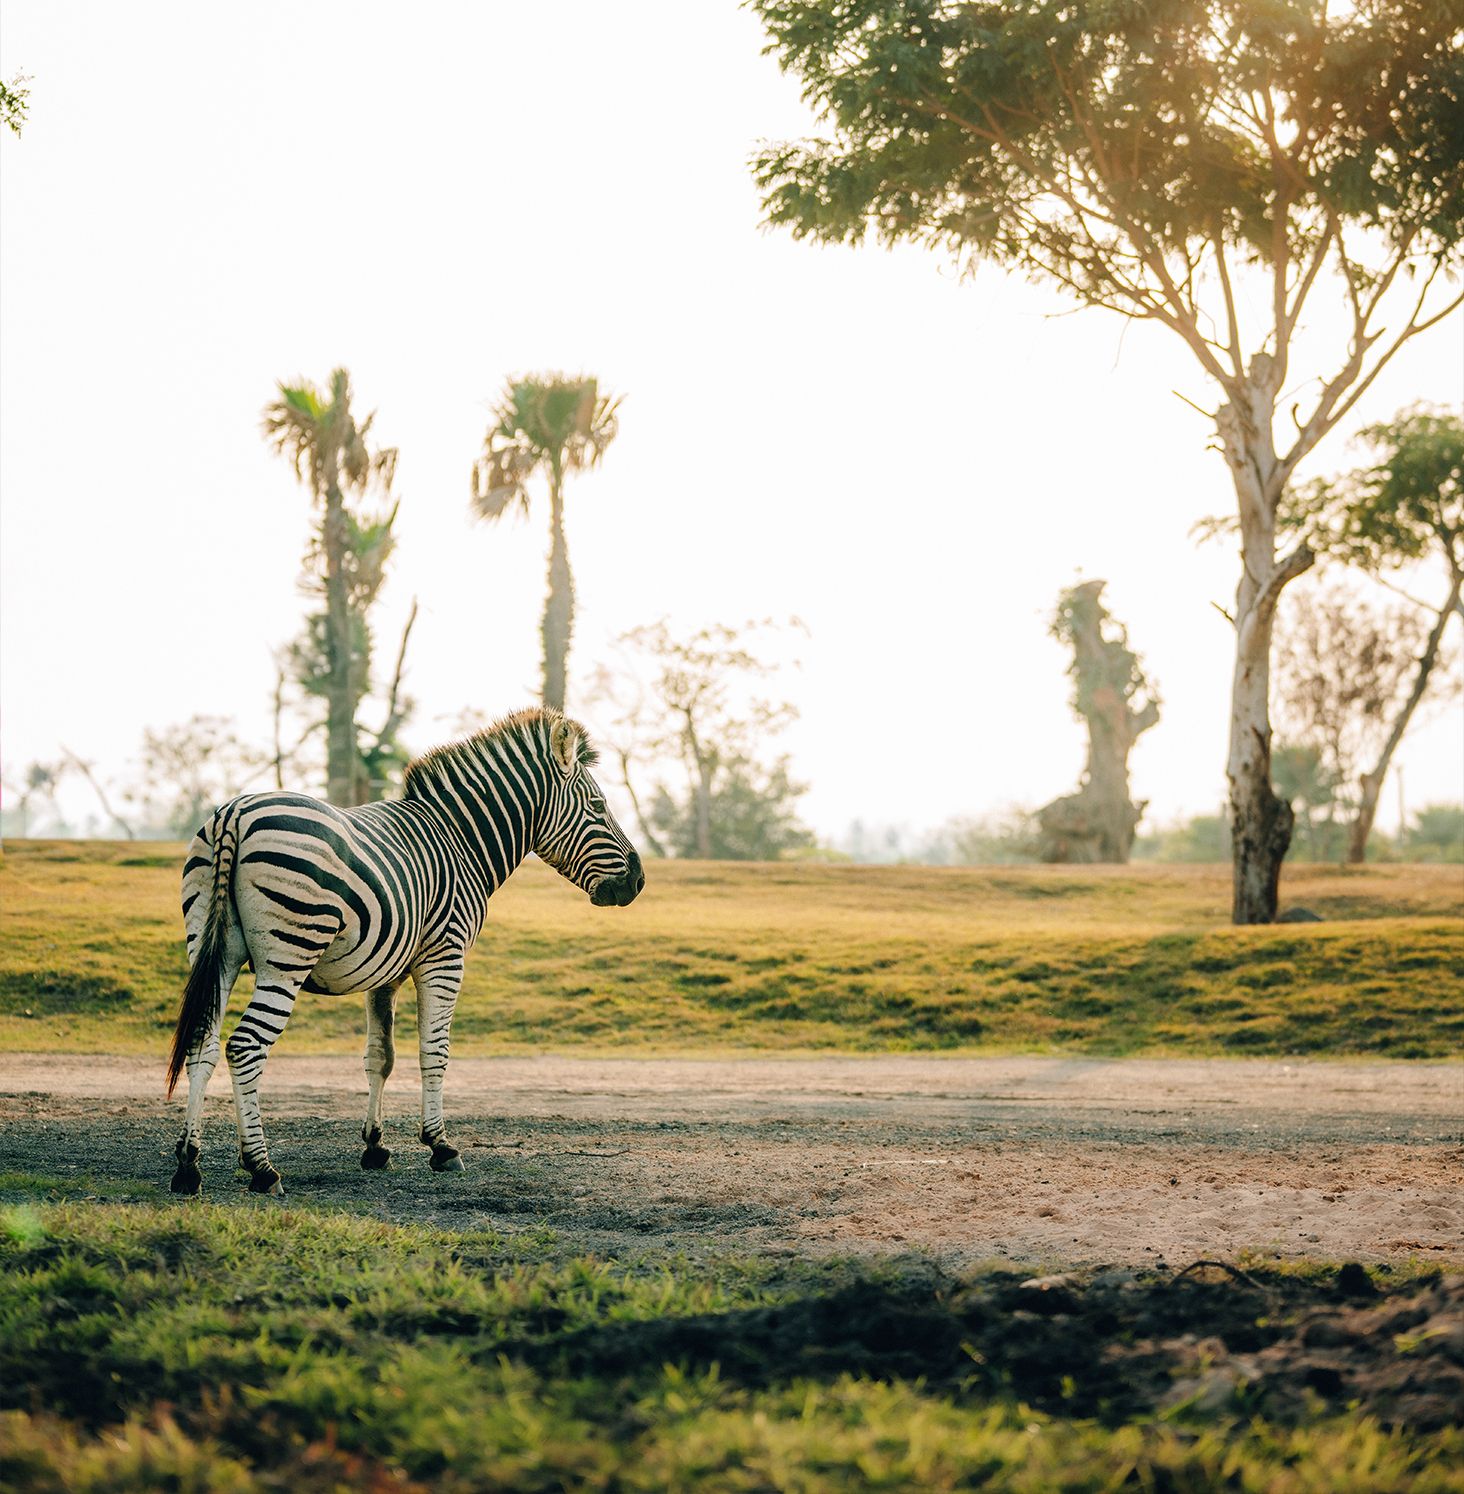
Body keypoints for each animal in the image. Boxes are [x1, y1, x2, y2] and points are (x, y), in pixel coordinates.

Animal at [165, 707, 643, 1197]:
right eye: (599, 807)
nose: (638, 881)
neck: (460, 840)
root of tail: (234, 815)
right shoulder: (445, 957)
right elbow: (434, 1052)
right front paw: (441, 1146)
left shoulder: (385, 971)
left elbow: (381, 1057)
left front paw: (375, 1146)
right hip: (288, 956)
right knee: (245, 1046)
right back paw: (261, 1167)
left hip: (214, 950)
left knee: (202, 1043)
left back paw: (188, 1165)